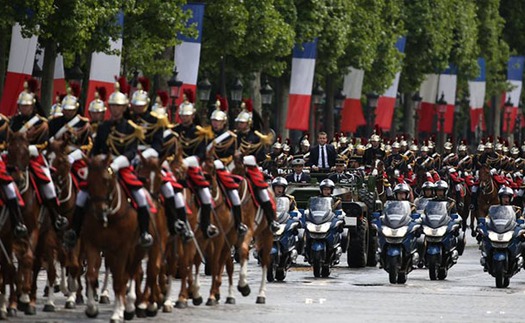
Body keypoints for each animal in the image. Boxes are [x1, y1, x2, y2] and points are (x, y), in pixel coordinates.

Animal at [81, 156, 149, 322]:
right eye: (88, 181)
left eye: (106, 180)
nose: (100, 211)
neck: (110, 217)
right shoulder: (92, 244)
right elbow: (91, 275)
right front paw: (92, 308)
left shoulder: (123, 248)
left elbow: (120, 279)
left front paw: (118, 312)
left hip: (137, 248)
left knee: (133, 272)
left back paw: (130, 305)